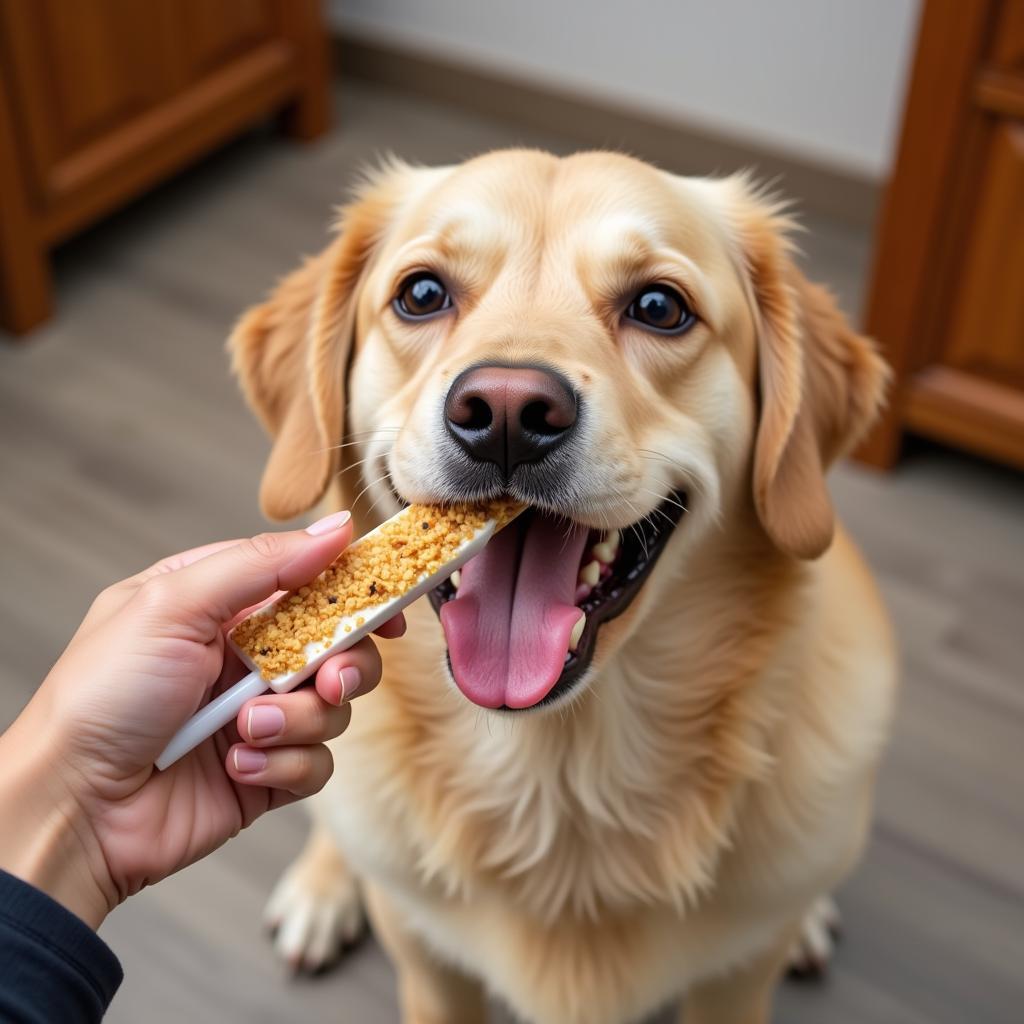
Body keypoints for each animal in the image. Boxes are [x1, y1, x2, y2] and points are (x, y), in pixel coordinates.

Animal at [230, 146, 897, 1024]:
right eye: (421, 294)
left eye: (660, 306)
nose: (507, 412)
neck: (562, 781)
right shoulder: (430, 962)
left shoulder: (734, 981)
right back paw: (321, 889)